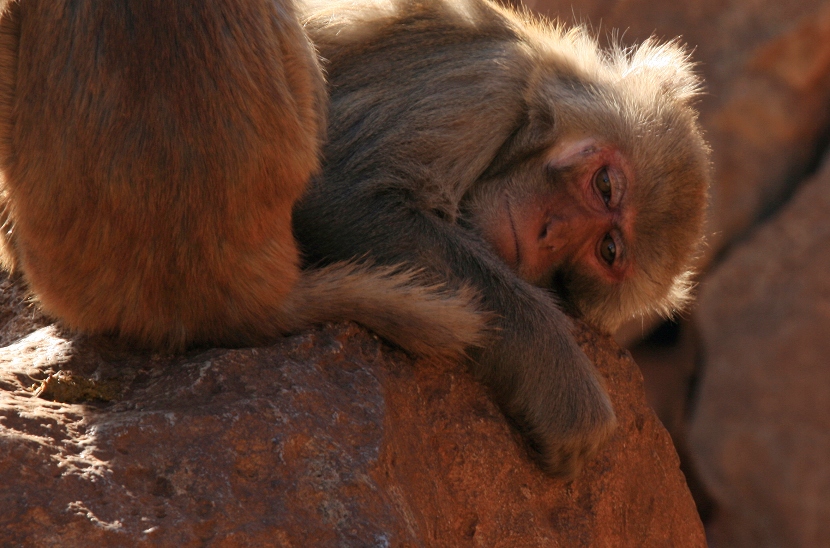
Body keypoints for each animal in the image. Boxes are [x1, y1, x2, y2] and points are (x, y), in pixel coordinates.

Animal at [290, 0, 708, 478]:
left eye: (607, 250)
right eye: (605, 186)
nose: (551, 233)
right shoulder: (484, 84)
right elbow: (342, 196)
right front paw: (562, 380)